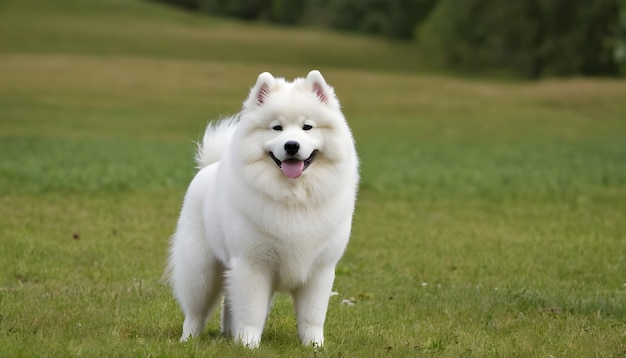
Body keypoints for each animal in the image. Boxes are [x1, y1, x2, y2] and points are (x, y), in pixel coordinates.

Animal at [168, 69, 358, 346]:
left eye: (307, 127)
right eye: (277, 127)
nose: (291, 145)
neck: (293, 198)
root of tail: (209, 167)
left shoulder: (319, 271)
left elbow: (312, 316)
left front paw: (314, 346)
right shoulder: (253, 266)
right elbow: (252, 312)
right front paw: (248, 344)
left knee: (228, 303)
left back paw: (228, 334)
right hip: (201, 271)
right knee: (196, 311)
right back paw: (189, 339)